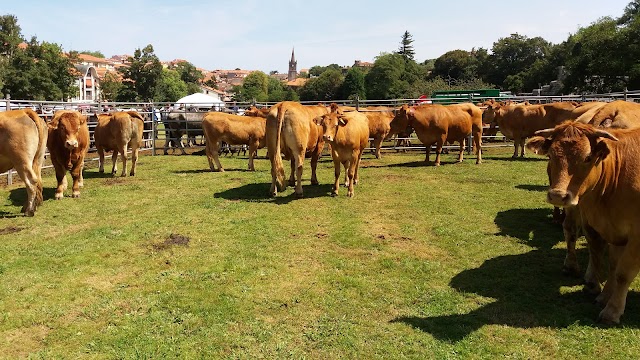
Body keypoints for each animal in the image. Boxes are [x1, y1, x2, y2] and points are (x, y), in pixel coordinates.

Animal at [528, 122, 640, 324]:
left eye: (588, 157)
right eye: (550, 155)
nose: (558, 195)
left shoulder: (636, 237)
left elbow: (623, 273)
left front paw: (612, 311)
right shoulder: (609, 230)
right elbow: (611, 264)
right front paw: (603, 296)